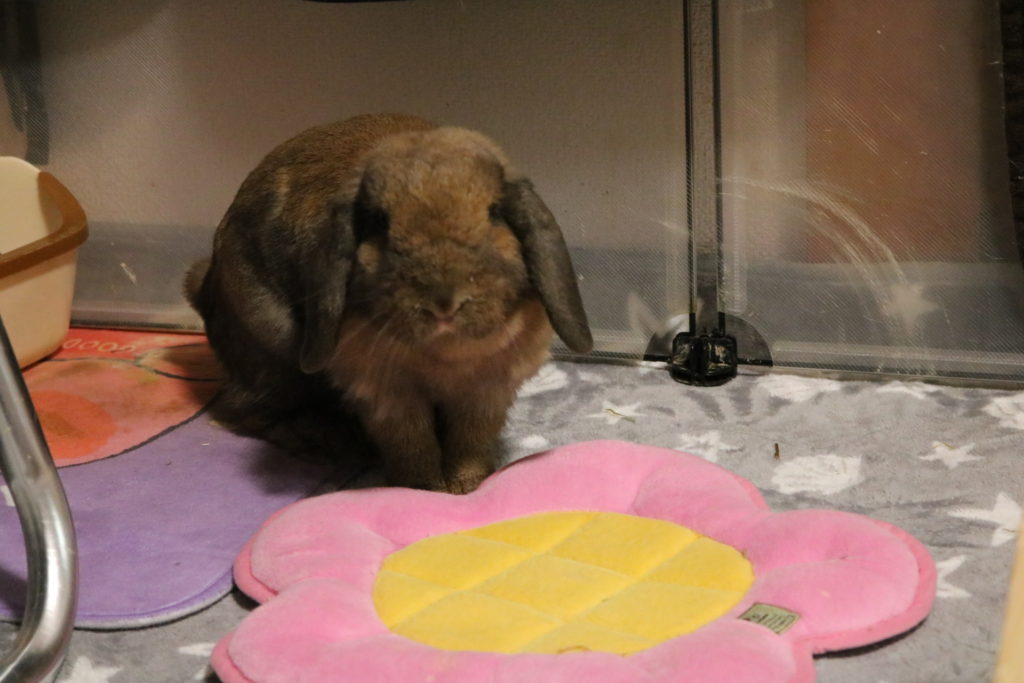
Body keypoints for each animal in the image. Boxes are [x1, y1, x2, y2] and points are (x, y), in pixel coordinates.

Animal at [185, 113, 592, 494]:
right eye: (380, 222)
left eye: (494, 212)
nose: (443, 303)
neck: (445, 353)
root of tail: (203, 285)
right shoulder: (386, 395)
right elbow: (412, 445)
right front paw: (425, 490)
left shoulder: (487, 390)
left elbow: (470, 442)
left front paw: (468, 486)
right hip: (274, 360)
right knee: (243, 412)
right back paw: (330, 442)